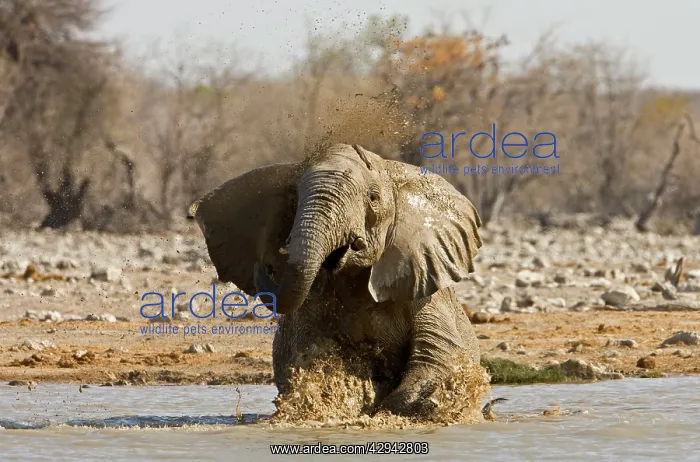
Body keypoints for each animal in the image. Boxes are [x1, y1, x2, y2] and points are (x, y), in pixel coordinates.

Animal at [187, 143, 484, 418]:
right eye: (293, 198)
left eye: (373, 198)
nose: (265, 263)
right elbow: (303, 356)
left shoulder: (422, 290)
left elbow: (438, 356)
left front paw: (385, 411)